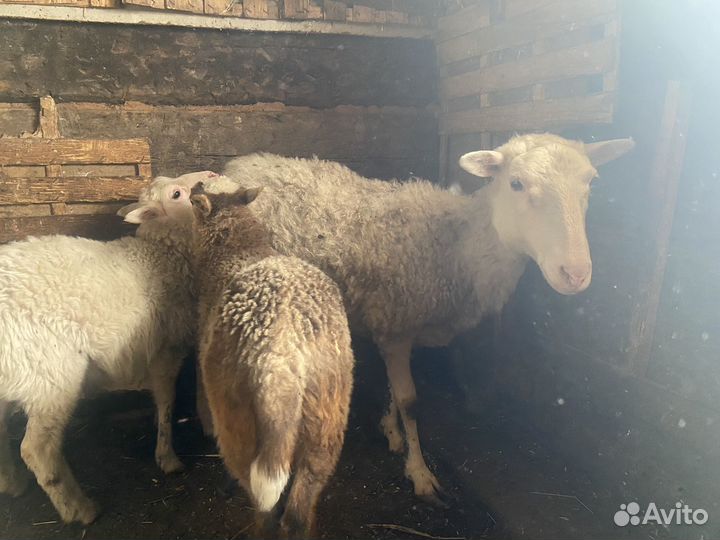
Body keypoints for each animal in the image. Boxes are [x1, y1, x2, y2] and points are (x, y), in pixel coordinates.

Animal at [0, 170, 215, 524]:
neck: (162, 254)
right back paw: (80, 509)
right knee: (37, 449)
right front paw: (168, 457)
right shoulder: (165, 352)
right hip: (51, 373)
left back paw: (12, 483)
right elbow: (167, 402)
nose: (209, 176)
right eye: (177, 193)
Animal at [152, 133, 635, 506]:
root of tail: (237, 165)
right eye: (516, 183)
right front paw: (420, 472)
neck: (459, 241)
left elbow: (393, 391)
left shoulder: (393, 323)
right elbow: (412, 401)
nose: (575, 274)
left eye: (591, 182)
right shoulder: (398, 324)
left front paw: (391, 431)